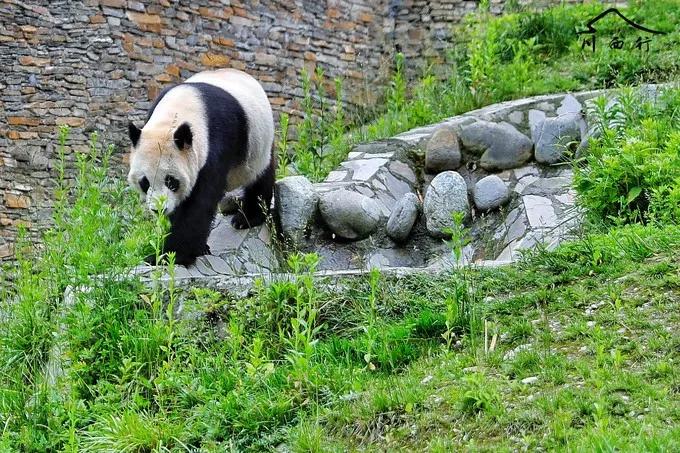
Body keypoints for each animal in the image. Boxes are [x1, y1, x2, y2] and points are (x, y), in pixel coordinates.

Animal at [126, 67, 274, 264]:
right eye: (145, 182)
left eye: (171, 181)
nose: (159, 209)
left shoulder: (215, 143)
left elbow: (198, 205)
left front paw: (170, 255)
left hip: (258, 146)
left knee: (260, 178)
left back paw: (247, 218)